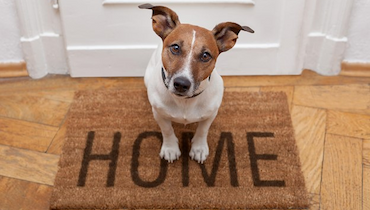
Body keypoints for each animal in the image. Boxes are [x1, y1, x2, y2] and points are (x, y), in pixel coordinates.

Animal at [139, 3, 254, 164]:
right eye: (175, 48)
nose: (181, 84)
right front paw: (170, 148)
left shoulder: (210, 114)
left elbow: (202, 130)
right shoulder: (159, 114)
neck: (185, 102)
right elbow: (167, 130)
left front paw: (199, 148)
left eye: (205, 55)